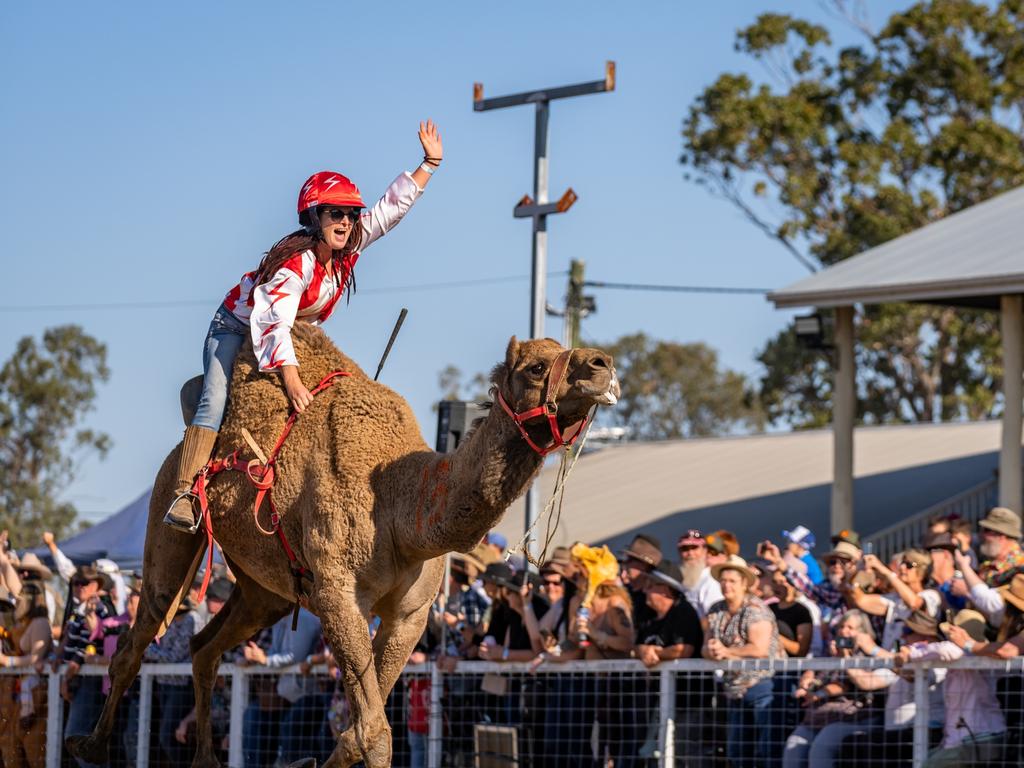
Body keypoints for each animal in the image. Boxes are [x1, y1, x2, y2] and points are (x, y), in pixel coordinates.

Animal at [68, 325, 618, 768]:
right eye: (537, 366)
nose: (603, 364)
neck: (399, 506)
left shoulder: (411, 614)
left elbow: (357, 731)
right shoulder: (337, 593)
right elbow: (373, 732)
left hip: (265, 593)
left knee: (203, 648)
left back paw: (204, 759)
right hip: (171, 526)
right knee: (136, 642)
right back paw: (90, 747)